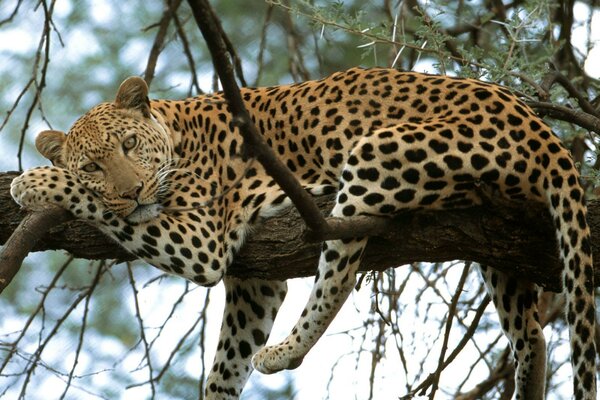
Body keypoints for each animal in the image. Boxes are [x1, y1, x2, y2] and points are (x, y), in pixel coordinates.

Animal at [9, 67, 596, 398]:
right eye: (94, 165)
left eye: (129, 145)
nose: (132, 193)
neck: (176, 133)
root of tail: (542, 129)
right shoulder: (254, 282)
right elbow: (225, 364)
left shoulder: (201, 241)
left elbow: (93, 206)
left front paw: (32, 183)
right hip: (500, 244)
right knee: (532, 332)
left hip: (374, 153)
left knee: (339, 272)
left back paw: (285, 351)